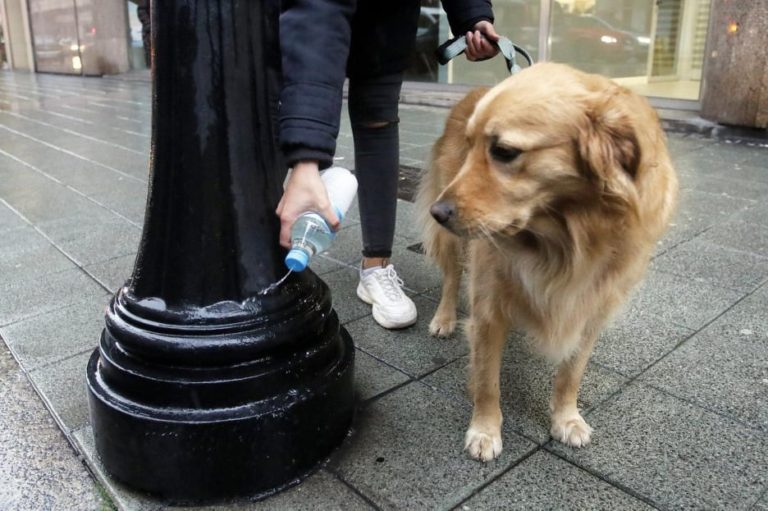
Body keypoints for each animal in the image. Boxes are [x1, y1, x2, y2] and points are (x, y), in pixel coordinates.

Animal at [416, 62, 676, 462]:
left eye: (504, 151)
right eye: (471, 145)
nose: (438, 212)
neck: (565, 239)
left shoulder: (591, 307)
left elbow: (571, 374)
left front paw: (567, 419)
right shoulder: (488, 308)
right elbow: (487, 381)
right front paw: (485, 430)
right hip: (454, 241)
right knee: (451, 277)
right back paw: (444, 318)